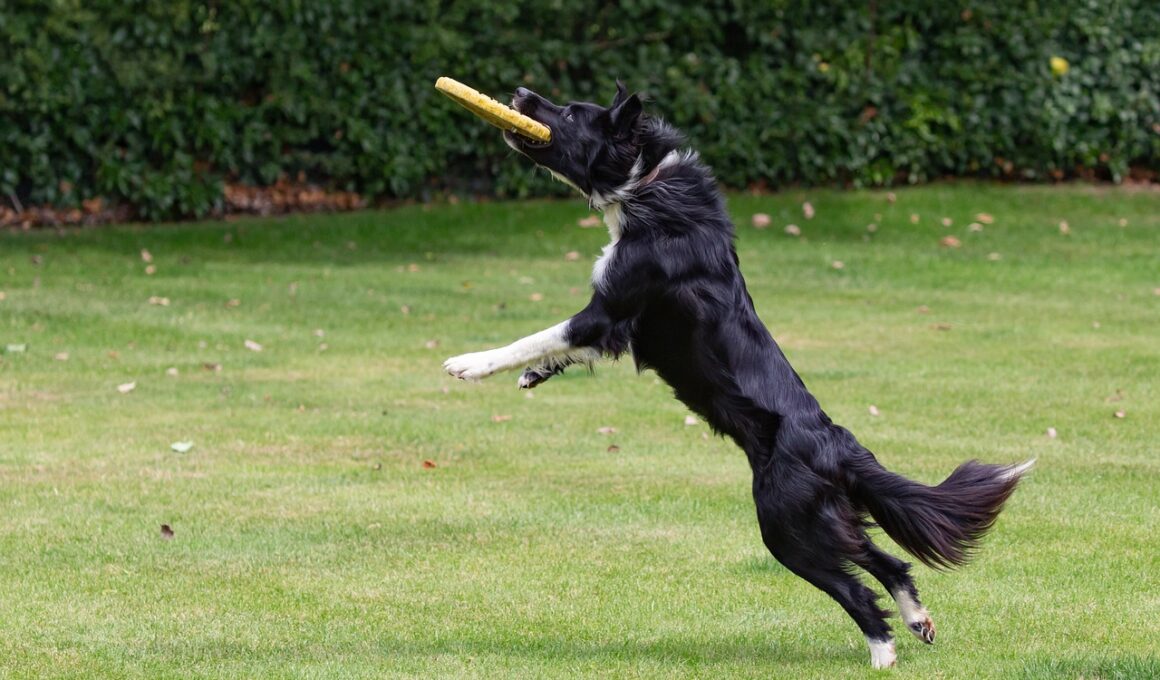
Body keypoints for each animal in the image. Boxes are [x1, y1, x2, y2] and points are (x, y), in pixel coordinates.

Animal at [443, 82, 1032, 669]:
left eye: (568, 112)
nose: (520, 90)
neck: (645, 181)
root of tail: (836, 446)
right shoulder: (612, 324)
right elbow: (558, 347)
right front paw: (533, 375)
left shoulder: (609, 309)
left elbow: (540, 334)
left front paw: (471, 363)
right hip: (824, 517)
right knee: (888, 561)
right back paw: (917, 621)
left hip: (785, 524)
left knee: (856, 588)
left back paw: (882, 652)